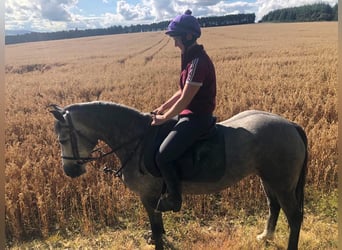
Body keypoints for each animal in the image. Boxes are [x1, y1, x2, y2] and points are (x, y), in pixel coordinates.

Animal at [50, 100, 308, 249]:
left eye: (63, 139)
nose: (70, 171)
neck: (136, 140)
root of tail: (290, 125)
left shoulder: (148, 196)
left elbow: (155, 225)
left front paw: (158, 242)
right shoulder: (153, 197)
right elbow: (158, 225)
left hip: (283, 183)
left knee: (294, 216)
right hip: (268, 178)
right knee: (274, 206)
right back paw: (266, 237)